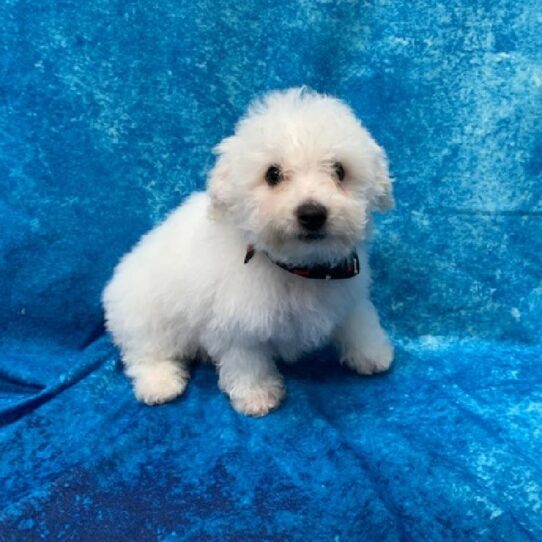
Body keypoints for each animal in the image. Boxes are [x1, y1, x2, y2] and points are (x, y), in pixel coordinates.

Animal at [103, 88, 396, 416]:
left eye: (339, 170)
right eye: (273, 174)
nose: (312, 214)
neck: (301, 268)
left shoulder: (349, 291)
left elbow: (359, 321)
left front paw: (373, 353)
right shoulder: (237, 322)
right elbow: (246, 360)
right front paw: (256, 395)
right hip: (146, 317)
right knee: (143, 353)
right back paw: (160, 383)